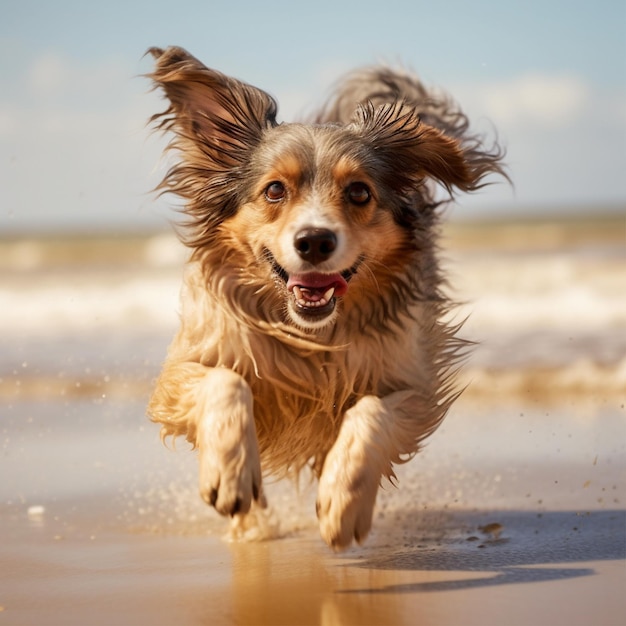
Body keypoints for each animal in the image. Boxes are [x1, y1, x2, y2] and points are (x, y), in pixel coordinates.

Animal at [147, 46, 508, 548]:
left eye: (358, 191)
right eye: (274, 189)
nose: (315, 240)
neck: (310, 337)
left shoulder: (414, 385)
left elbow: (373, 413)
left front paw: (344, 500)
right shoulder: (181, 371)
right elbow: (226, 382)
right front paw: (231, 472)